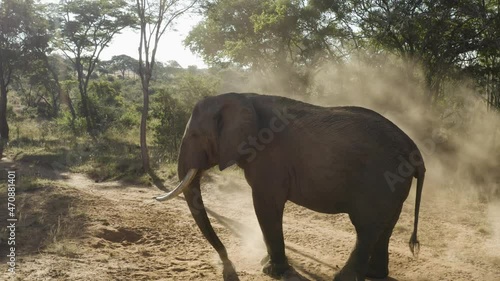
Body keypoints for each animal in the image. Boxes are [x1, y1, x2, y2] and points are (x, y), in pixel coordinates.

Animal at [156, 93, 426, 278]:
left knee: (366, 227)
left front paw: (271, 272)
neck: (240, 97)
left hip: (380, 179)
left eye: (194, 136)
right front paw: (266, 265)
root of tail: (416, 151)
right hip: (395, 184)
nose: (227, 263)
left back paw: (343, 278)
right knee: (385, 226)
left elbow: (265, 206)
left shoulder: (269, 159)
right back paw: (374, 275)